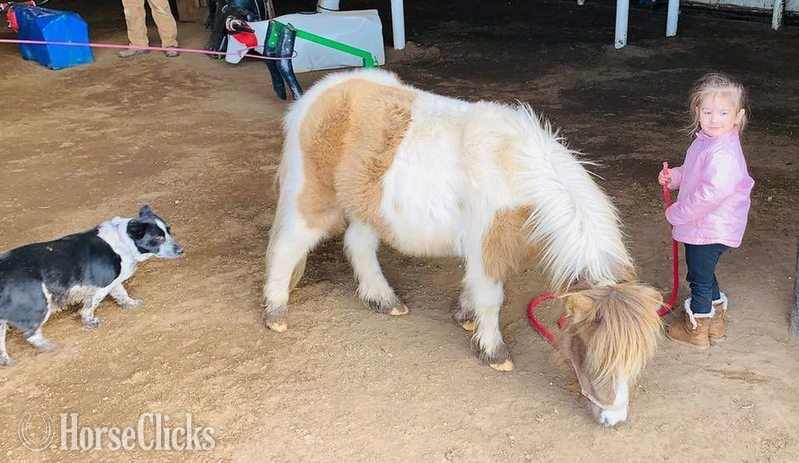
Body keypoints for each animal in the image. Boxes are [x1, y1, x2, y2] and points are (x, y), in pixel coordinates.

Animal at [260, 68, 663, 426]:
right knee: (288, 248)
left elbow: (475, 289)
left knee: (357, 246)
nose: (613, 419)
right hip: (314, 202)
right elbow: (491, 298)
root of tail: (315, 97)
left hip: (368, 209)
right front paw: (493, 352)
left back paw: (384, 301)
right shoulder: (488, 248)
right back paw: (276, 314)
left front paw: (465, 316)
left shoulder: (489, 251)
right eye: (593, 353)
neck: (520, 174)